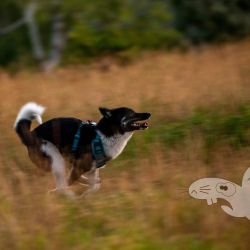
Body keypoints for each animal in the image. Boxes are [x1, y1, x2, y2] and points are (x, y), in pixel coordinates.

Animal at [14, 102, 151, 196]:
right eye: (131, 113)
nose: (149, 114)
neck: (105, 134)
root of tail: (30, 135)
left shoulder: (92, 169)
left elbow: (94, 186)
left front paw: (87, 195)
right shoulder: (79, 167)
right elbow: (72, 181)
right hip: (56, 159)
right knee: (62, 185)